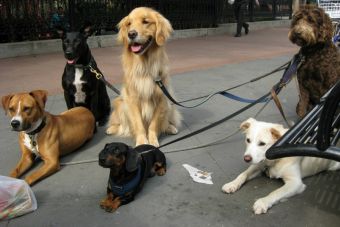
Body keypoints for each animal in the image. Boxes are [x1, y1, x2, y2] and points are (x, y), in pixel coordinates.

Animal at [106, 7, 182, 146]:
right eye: (129, 24)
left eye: (145, 21)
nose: (131, 34)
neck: (145, 65)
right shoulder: (132, 100)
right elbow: (138, 124)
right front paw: (142, 142)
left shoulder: (161, 97)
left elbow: (154, 124)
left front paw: (152, 140)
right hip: (120, 103)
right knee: (121, 124)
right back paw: (112, 128)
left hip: (169, 104)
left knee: (165, 122)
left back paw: (170, 127)